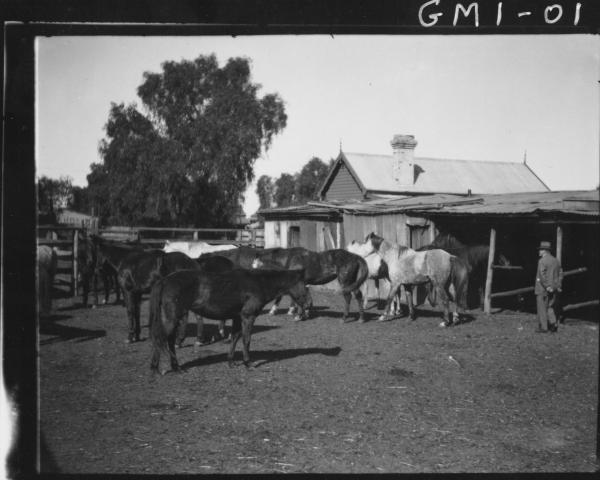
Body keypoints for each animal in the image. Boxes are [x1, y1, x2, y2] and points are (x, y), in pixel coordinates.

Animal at [149, 268, 310, 374]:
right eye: (304, 284)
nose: (308, 305)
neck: (259, 283)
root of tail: (165, 280)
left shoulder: (237, 317)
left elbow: (235, 337)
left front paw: (231, 362)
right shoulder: (248, 316)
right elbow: (246, 339)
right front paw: (248, 363)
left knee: (167, 340)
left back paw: (171, 367)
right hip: (172, 317)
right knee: (160, 338)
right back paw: (159, 369)